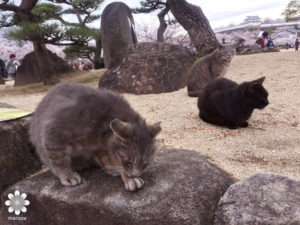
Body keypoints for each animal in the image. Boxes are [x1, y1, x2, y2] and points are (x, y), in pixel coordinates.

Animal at [29, 83, 162, 192]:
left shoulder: (101, 147)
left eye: (145, 164)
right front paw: (67, 175)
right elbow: (59, 161)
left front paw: (114, 169)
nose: (135, 175)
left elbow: (106, 157)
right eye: (129, 163)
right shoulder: (53, 134)